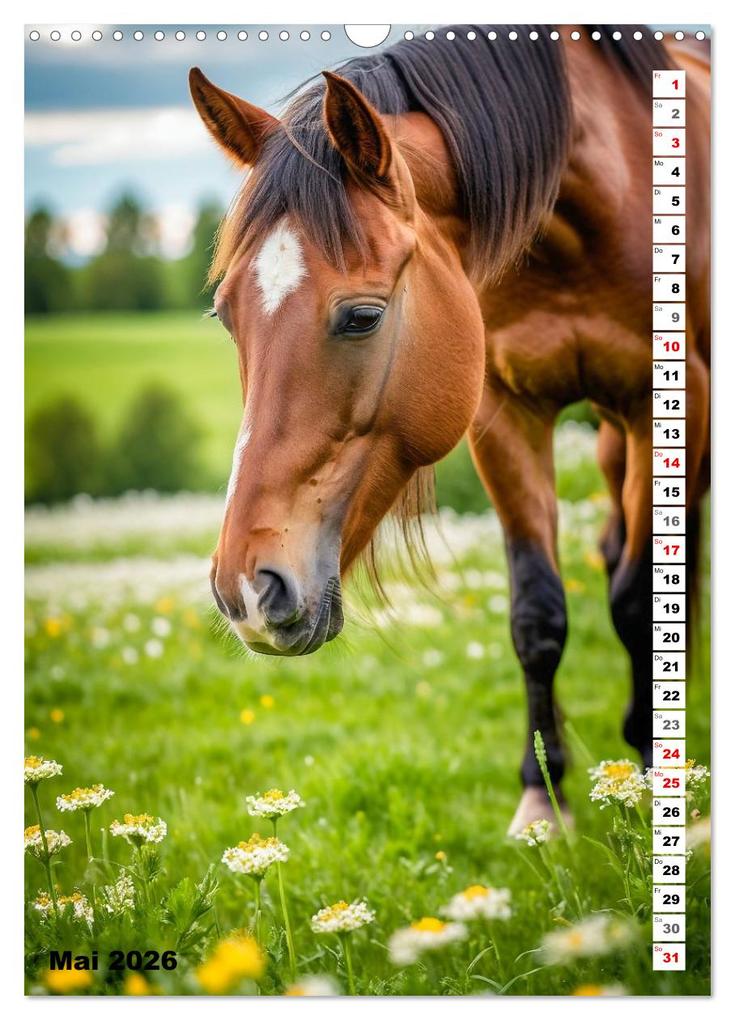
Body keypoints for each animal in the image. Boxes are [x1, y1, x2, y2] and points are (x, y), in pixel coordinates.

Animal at [189, 25, 710, 833]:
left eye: (362, 316)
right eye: (225, 316)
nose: (247, 590)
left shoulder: (670, 401)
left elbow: (640, 600)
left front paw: (659, 778)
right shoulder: (502, 414)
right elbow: (537, 612)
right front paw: (543, 799)